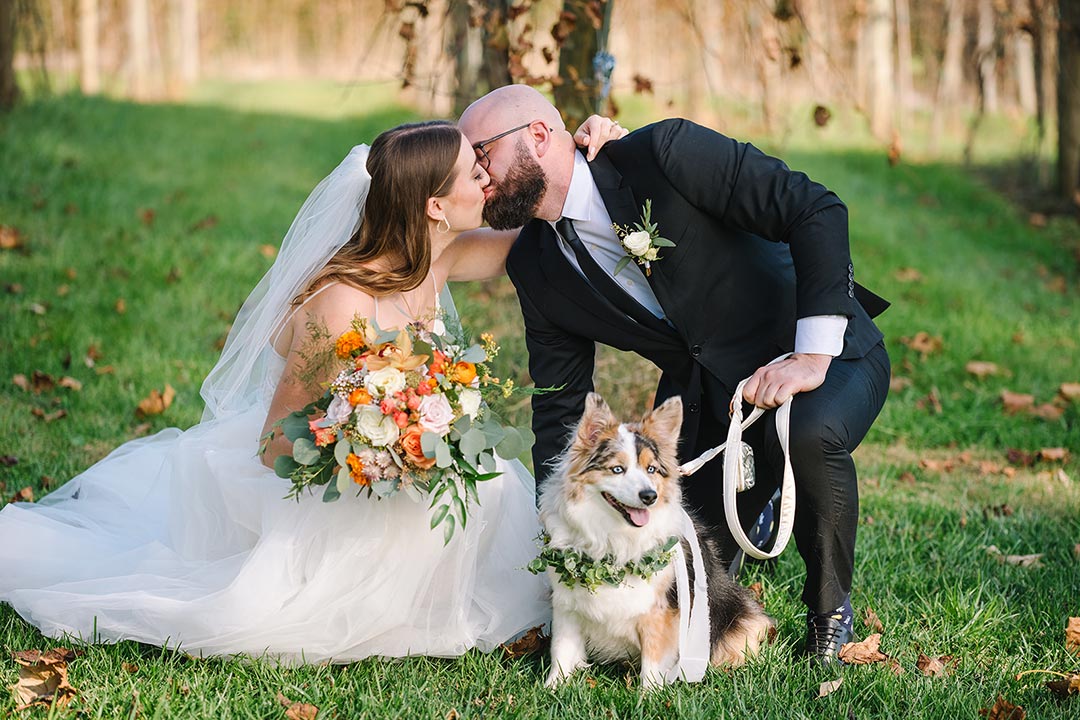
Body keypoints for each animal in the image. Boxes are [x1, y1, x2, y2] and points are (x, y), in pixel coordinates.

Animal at [535, 395, 773, 686]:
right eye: (617, 469)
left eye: (651, 470)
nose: (649, 496)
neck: (613, 536)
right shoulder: (567, 605)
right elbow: (562, 650)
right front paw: (553, 687)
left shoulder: (661, 612)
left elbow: (653, 658)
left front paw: (648, 693)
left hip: (740, 617)